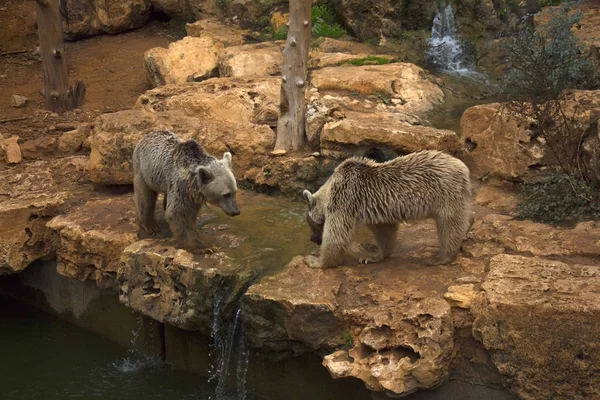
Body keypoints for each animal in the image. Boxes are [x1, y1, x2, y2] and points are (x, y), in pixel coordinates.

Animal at [304, 150, 474, 268]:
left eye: (311, 223)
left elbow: (337, 234)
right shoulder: (377, 208)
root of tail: (464, 168)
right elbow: (384, 230)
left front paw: (315, 261)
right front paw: (371, 256)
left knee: (450, 224)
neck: (330, 187)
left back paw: (440, 257)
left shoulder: (345, 198)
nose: (312, 238)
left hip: (445, 192)